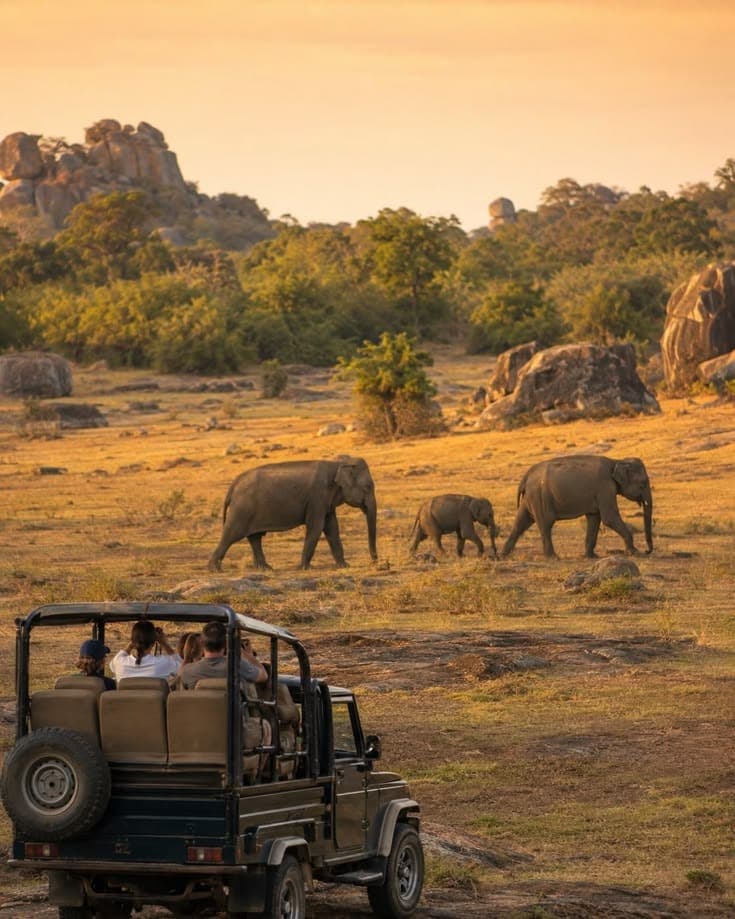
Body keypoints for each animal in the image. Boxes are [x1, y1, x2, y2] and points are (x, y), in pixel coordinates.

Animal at [208, 456, 378, 571]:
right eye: (368, 487)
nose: (375, 561)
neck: (338, 463)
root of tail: (233, 486)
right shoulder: (317, 497)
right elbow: (316, 527)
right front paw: (305, 568)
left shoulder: (326, 502)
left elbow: (332, 528)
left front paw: (344, 565)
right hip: (242, 509)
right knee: (232, 534)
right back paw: (214, 568)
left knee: (255, 537)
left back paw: (266, 568)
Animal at [501, 455, 653, 559]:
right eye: (643, 483)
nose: (647, 551)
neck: (616, 461)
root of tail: (526, 476)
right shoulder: (605, 487)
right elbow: (609, 518)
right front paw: (635, 553)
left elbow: (594, 519)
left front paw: (591, 557)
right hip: (540, 497)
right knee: (545, 524)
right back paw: (553, 558)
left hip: (531, 497)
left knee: (520, 523)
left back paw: (502, 556)